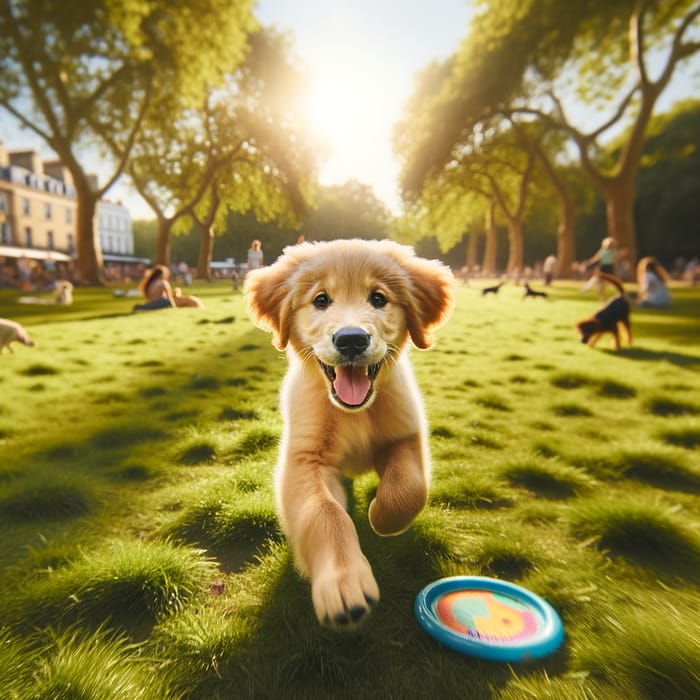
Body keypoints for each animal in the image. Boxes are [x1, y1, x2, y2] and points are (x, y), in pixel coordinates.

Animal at [246, 238, 454, 628]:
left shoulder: (406, 433)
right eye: (321, 299)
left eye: (378, 298)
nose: (352, 340)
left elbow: (408, 488)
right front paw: (344, 584)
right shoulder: (304, 459)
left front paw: (381, 517)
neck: (352, 412)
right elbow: (325, 512)